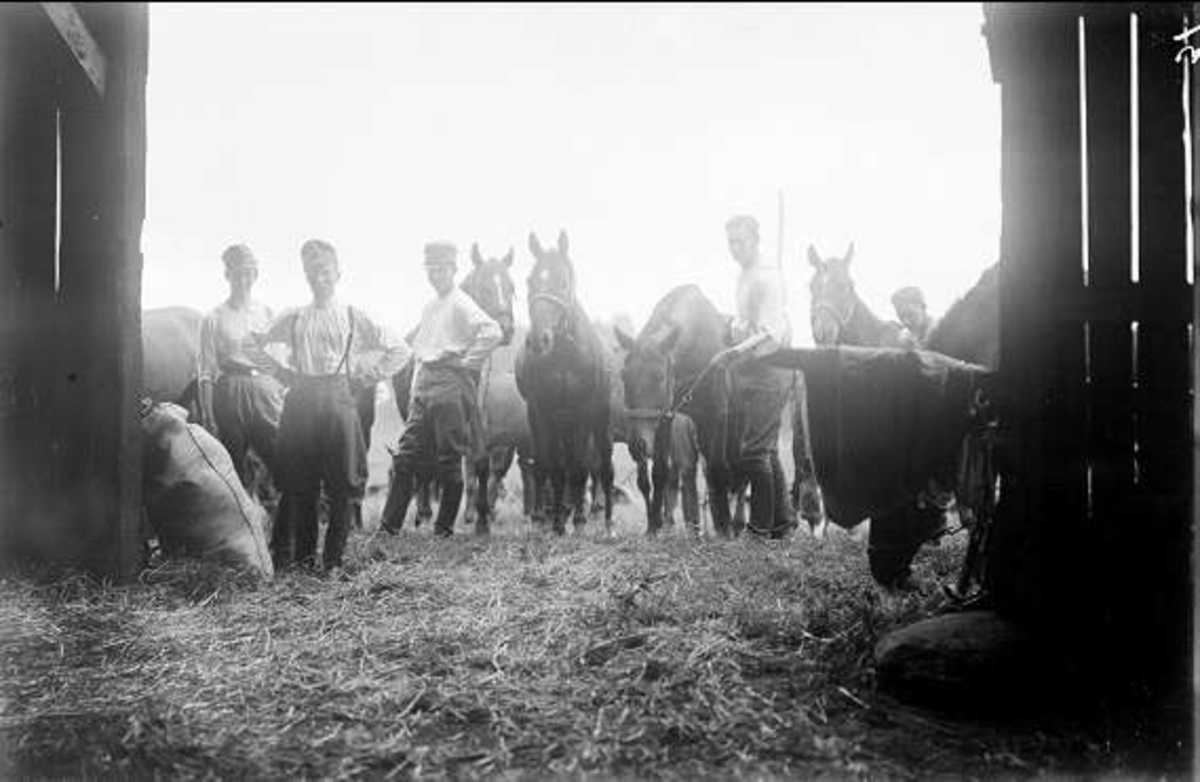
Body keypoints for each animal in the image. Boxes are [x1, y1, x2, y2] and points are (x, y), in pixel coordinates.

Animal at [515, 230, 615, 536]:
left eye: (563, 281)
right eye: (530, 281)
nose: (538, 340)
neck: (563, 356)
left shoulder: (583, 410)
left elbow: (580, 468)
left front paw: (578, 522)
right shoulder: (540, 411)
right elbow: (549, 467)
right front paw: (551, 522)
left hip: (598, 421)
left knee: (603, 467)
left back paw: (606, 522)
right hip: (562, 425)